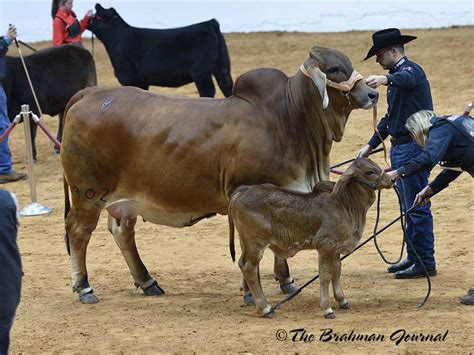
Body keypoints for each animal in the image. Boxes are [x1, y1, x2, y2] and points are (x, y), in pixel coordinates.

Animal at [60, 46, 378, 304]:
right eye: (334, 69)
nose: (373, 93)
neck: (288, 120)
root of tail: (91, 93)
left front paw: (285, 281)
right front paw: (252, 291)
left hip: (124, 199)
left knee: (122, 231)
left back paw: (147, 281)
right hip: (88, 193)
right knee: (78, 231)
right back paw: (85, 287)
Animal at [89, 3, 233, 97]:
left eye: (97, 16)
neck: (117, 37)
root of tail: (209, 23)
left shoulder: (127, 76)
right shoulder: (141, 81)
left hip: (201, 72)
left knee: (208, 90)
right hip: (222, 65)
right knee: (226, 84)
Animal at [228, 159, 390, 320]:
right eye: (370, 172)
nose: (392, 179)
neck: (344, 203)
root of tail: (241, 191)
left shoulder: (336, 250)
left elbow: (337, 272)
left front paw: (342, 301)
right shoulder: (326, 246)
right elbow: (325, 275)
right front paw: (327, 308)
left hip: (245, 243)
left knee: (246, 266)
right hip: (255, 244)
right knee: (249, 268)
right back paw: (265, 308)